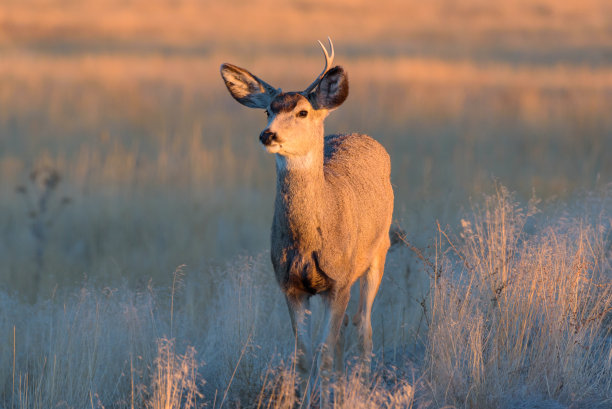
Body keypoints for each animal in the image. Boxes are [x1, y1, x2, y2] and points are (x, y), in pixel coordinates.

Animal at [219, 39, 392, 404]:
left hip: (379, 251)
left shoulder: (338, 281)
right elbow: (303, 356)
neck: (310, 239)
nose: (267, 135)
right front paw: (304, 399)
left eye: (302, 112)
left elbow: (324, 354)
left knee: (364, 326)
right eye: (267, 110)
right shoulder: (289, 284)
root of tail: (359, 135)